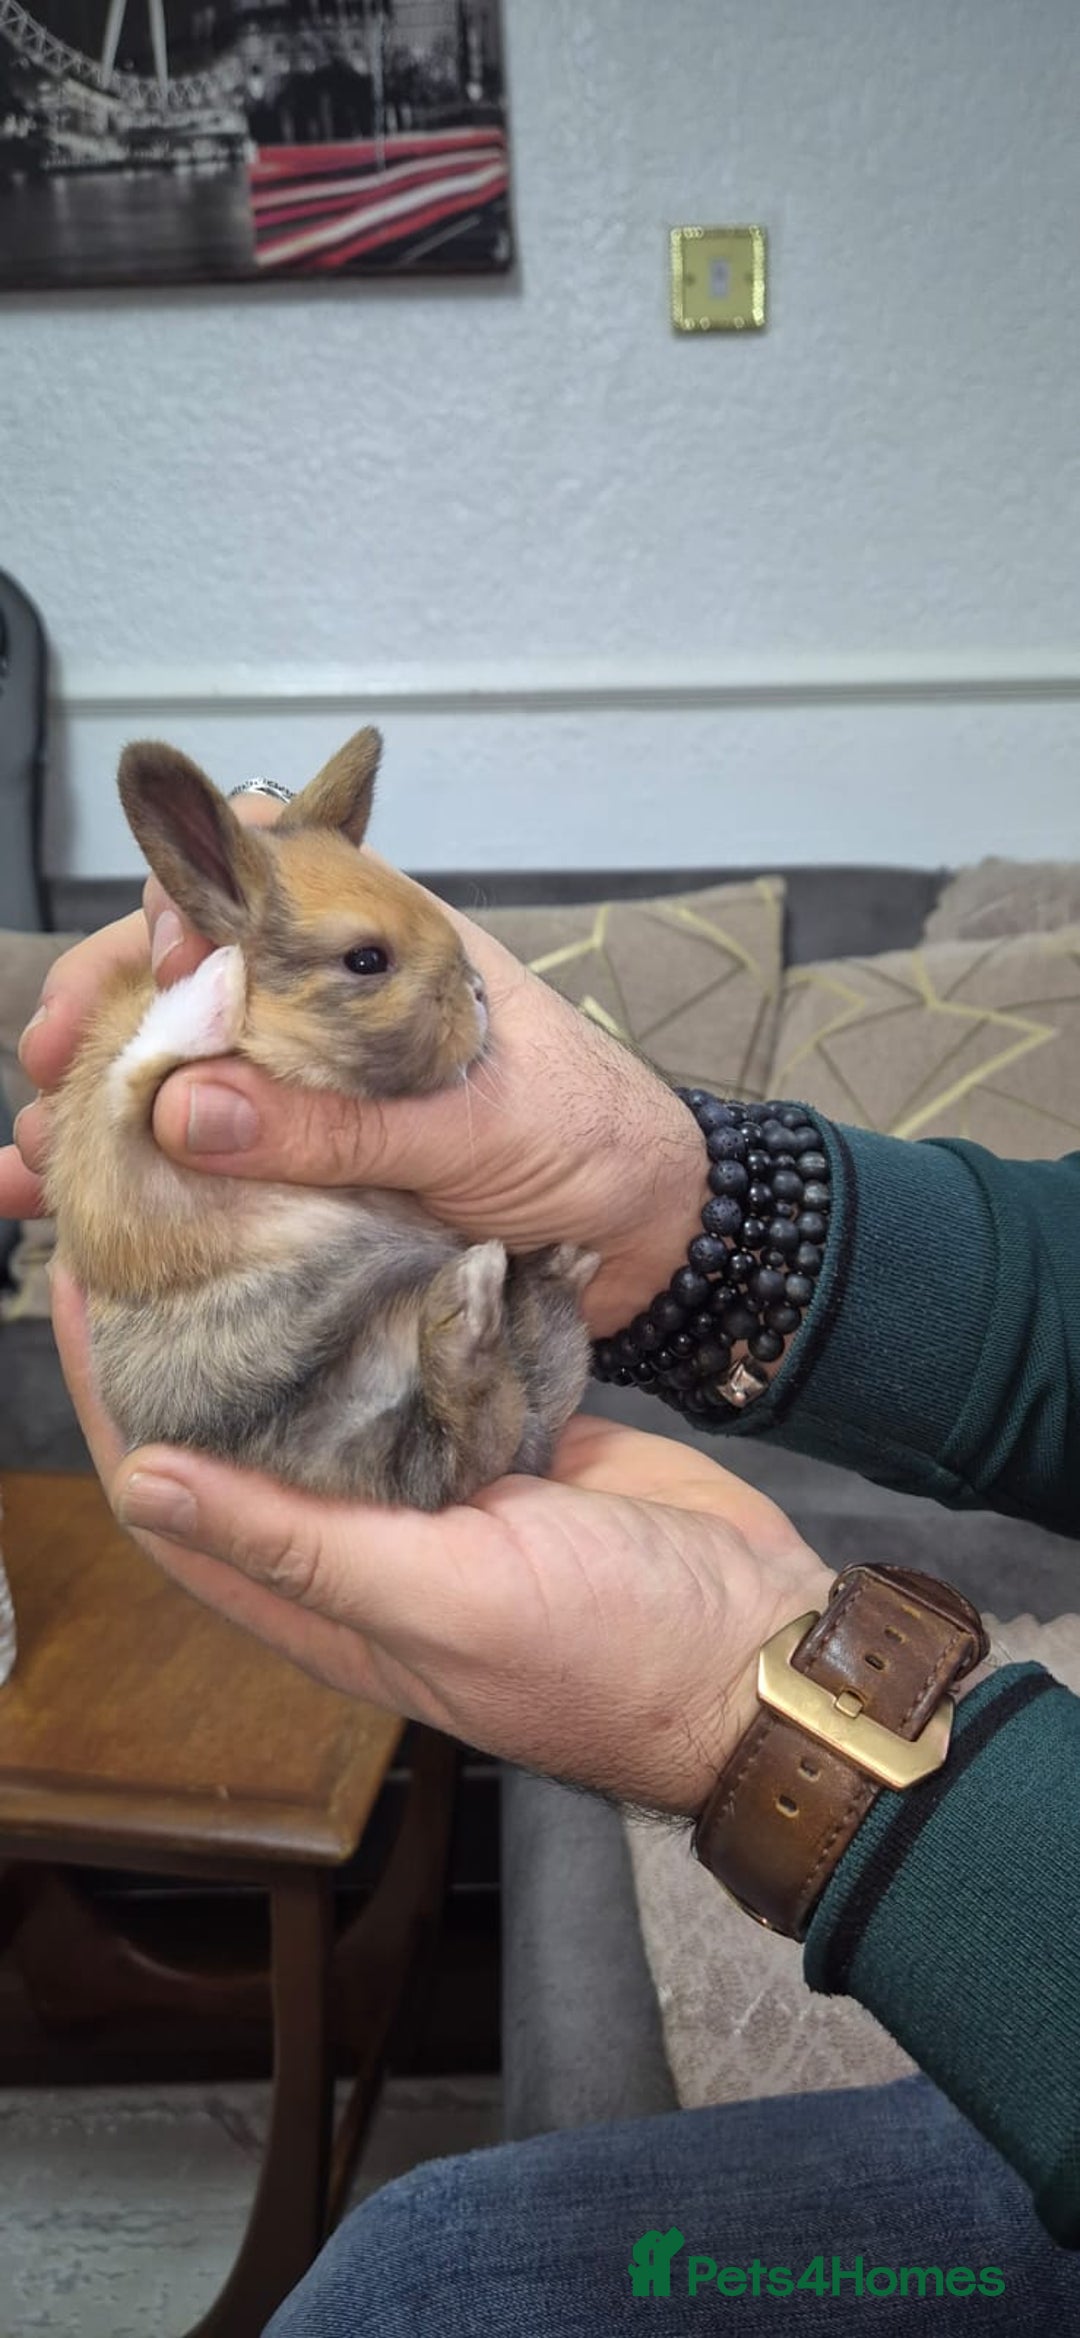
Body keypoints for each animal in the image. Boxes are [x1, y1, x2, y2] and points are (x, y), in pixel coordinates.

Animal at [46, 727, 597, 1509]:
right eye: (365, 959)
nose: (480, 993)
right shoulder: (125, 1171)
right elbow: (137, 1073)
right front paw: (219, 980)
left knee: (486, 1425)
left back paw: (522, 1279)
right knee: (460, 1446)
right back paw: (481, 1297)